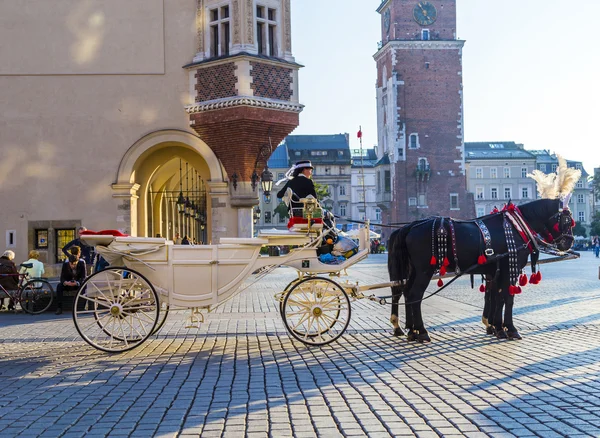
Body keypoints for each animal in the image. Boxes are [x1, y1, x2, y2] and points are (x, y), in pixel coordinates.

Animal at [386, 198, 576, 342]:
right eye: (567, 220)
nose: (569, 242)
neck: (516, 227)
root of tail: (410, 226)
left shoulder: (497, 272)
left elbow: (497, 298)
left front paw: (498, 327)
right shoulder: (510, 269)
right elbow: (508, 298)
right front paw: (510, 329)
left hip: (414, 270)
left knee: (405, 292)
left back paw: (412, 331)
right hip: (424, 270)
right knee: (414, 295)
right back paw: (422, 332)